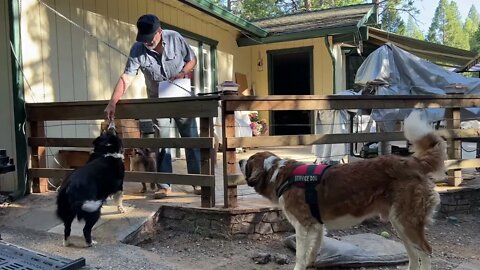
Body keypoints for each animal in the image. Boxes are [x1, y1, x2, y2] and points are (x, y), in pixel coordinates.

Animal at [240, 110, 446, 268]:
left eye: (248, 163)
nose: (241, 161)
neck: (278, 173)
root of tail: (413, 162)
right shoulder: (317, 226)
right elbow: (313, 251)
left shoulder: (303, 226)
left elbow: (300, 256)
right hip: (400, 222)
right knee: (413, 254)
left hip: (407, 221)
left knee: (425, 251)